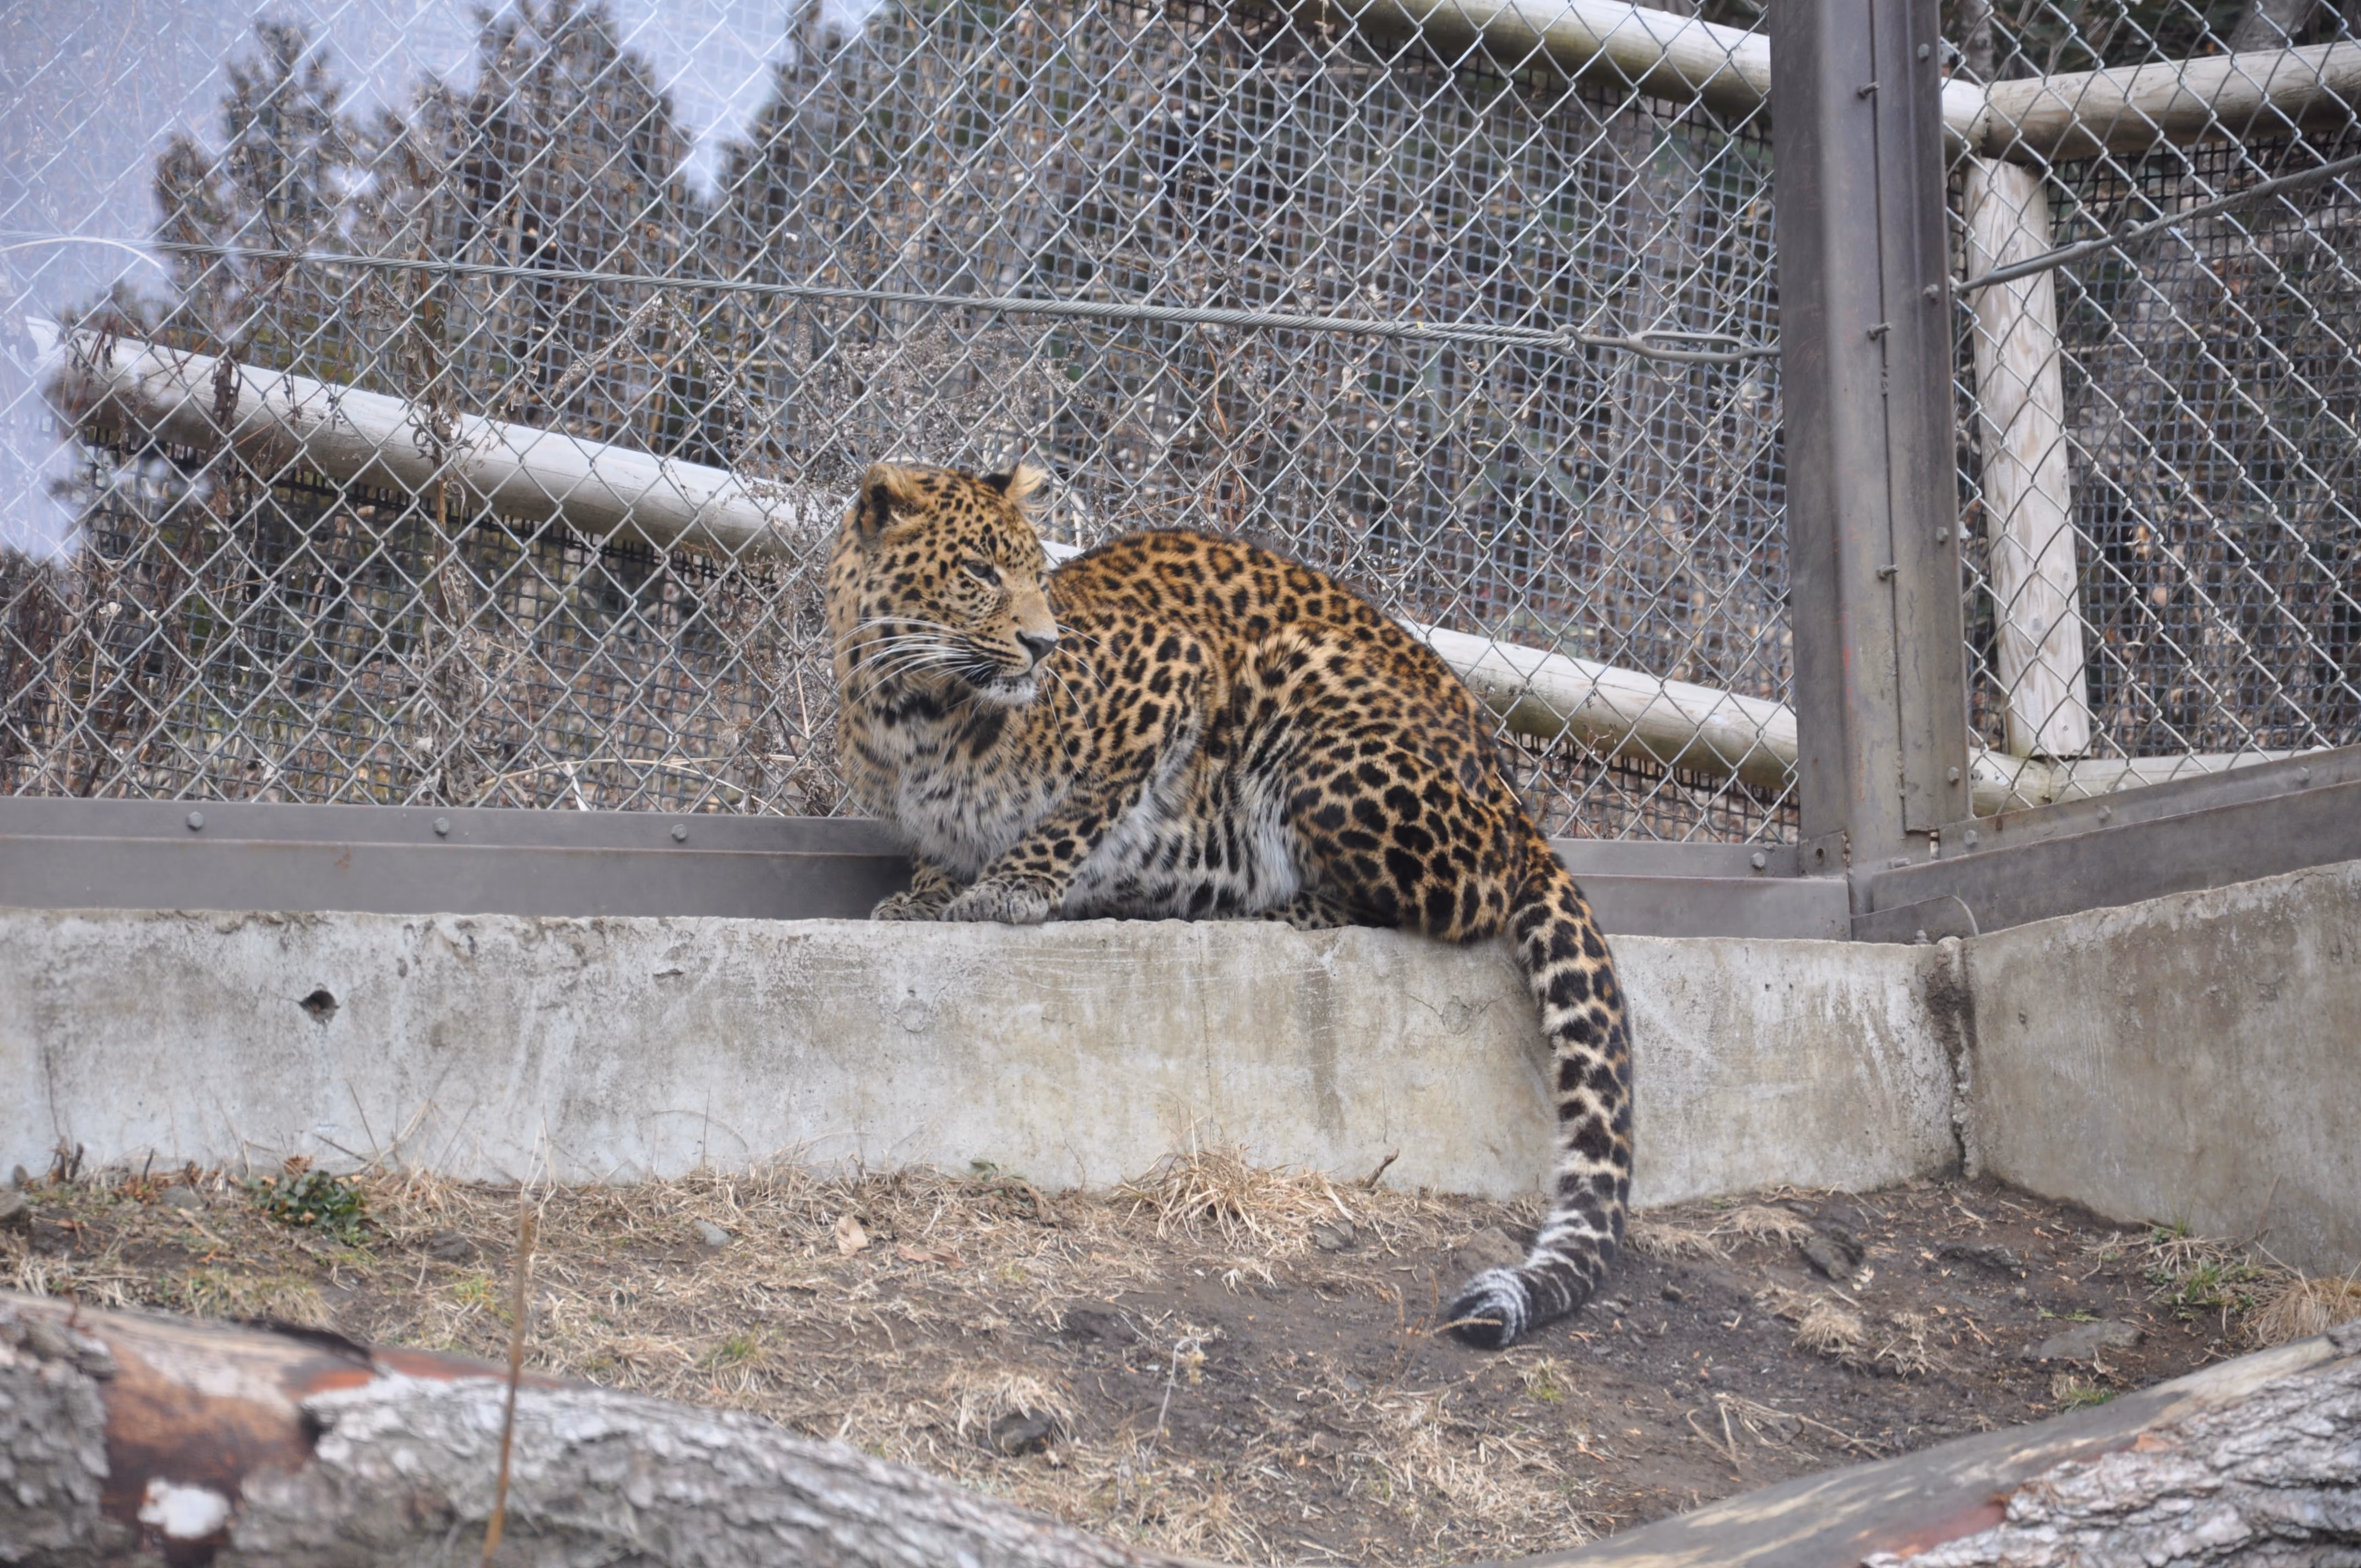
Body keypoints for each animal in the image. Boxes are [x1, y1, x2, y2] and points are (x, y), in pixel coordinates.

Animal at [826, 459, 1633, 1349]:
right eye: (978, 572)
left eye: (1036, 576)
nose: (1045, 644)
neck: (911, 707)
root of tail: (1514, 796)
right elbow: (941, 850)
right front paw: (923, 896)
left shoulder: (1171, 671)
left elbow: (1086, 808)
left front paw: (1012, 886)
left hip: (1309, 695)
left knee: (1460, 898)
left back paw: (1252, 909)